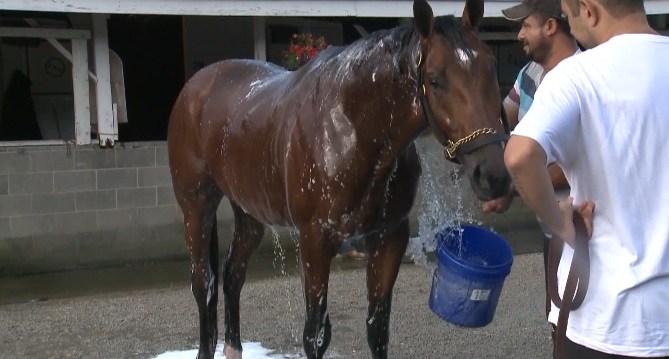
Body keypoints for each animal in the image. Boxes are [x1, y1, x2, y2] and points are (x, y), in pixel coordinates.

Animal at [168, 0, 512, 359]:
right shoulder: (315, 242)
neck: (348, 129)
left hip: (249, 214)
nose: (493, 174)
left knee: (233, 273)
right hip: (196, 209)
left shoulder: (389, 238)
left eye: (490, 66)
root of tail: (198, 83)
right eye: (435, 79)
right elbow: (316, 334)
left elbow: (378, 328)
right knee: (203, 283)